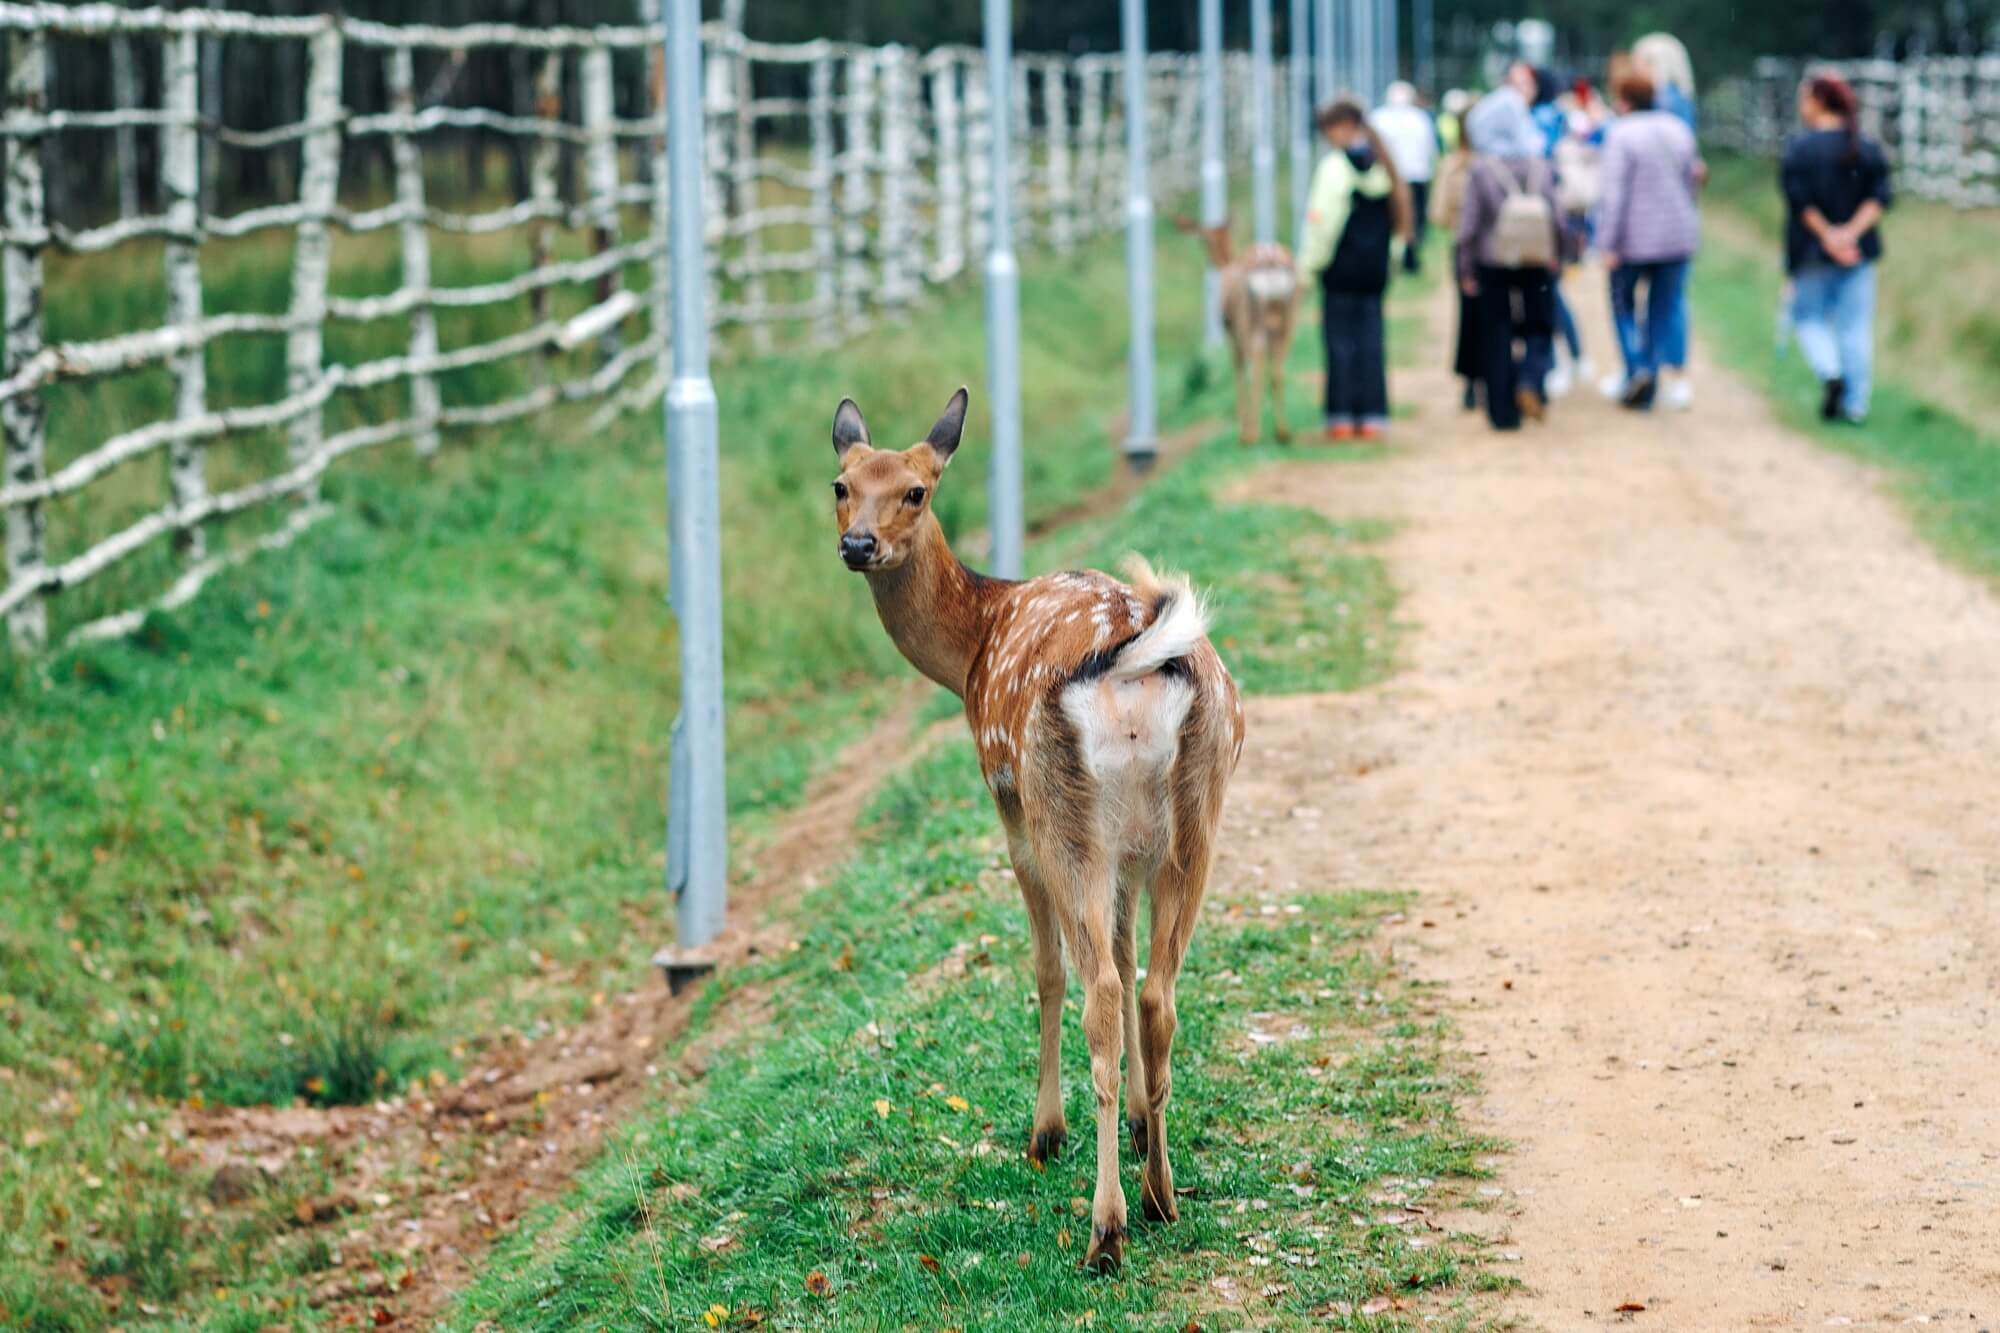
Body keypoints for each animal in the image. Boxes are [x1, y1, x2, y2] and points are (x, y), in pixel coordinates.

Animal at [824, 384, 1232, 1264]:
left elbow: (1046, 968)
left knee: (1098, 991)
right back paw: (1161, 1193)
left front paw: (1045, 1131)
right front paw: (1142, 1123)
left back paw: (1106, 1227)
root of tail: (1137, 662)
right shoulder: (1128, 854)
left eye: (917, 489)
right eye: (841, 482)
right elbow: (1126, 952)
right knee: (1156, 990)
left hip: (1060, 807)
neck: (975, 643)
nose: (858, 543)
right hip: (1195, 814)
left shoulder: (1006, 797)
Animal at [1176, 217, 1304, 446]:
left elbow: (1238, 370)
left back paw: (1251, 434)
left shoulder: (1231, 331)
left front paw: (1241, 425)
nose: (1209, 260)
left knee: (1255, 366)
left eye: (1203, 239)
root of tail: (1270, 261)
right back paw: (1282, 433)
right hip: (1290, 316)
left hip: (1249, 319)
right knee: (1277, 369)